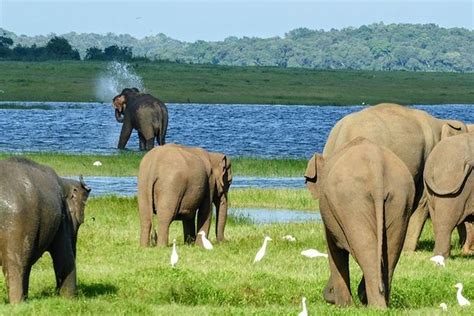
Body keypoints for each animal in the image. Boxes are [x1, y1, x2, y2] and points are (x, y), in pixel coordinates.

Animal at [0, 158, 90, 304]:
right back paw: (17, 304)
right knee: (16, 265)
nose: (55, 291)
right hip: (17, 222)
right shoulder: (63, 218)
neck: (64, 181)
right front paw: (69, 300)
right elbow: (65, 259)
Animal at [304, 138, 414, 308]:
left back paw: (375, 306)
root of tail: (377, 167)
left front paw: (344, 307)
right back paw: (379, 302)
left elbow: (333, 250)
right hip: (401, 199)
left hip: (350, 202)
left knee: (364, 247)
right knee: (391, 250)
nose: (329, 293)